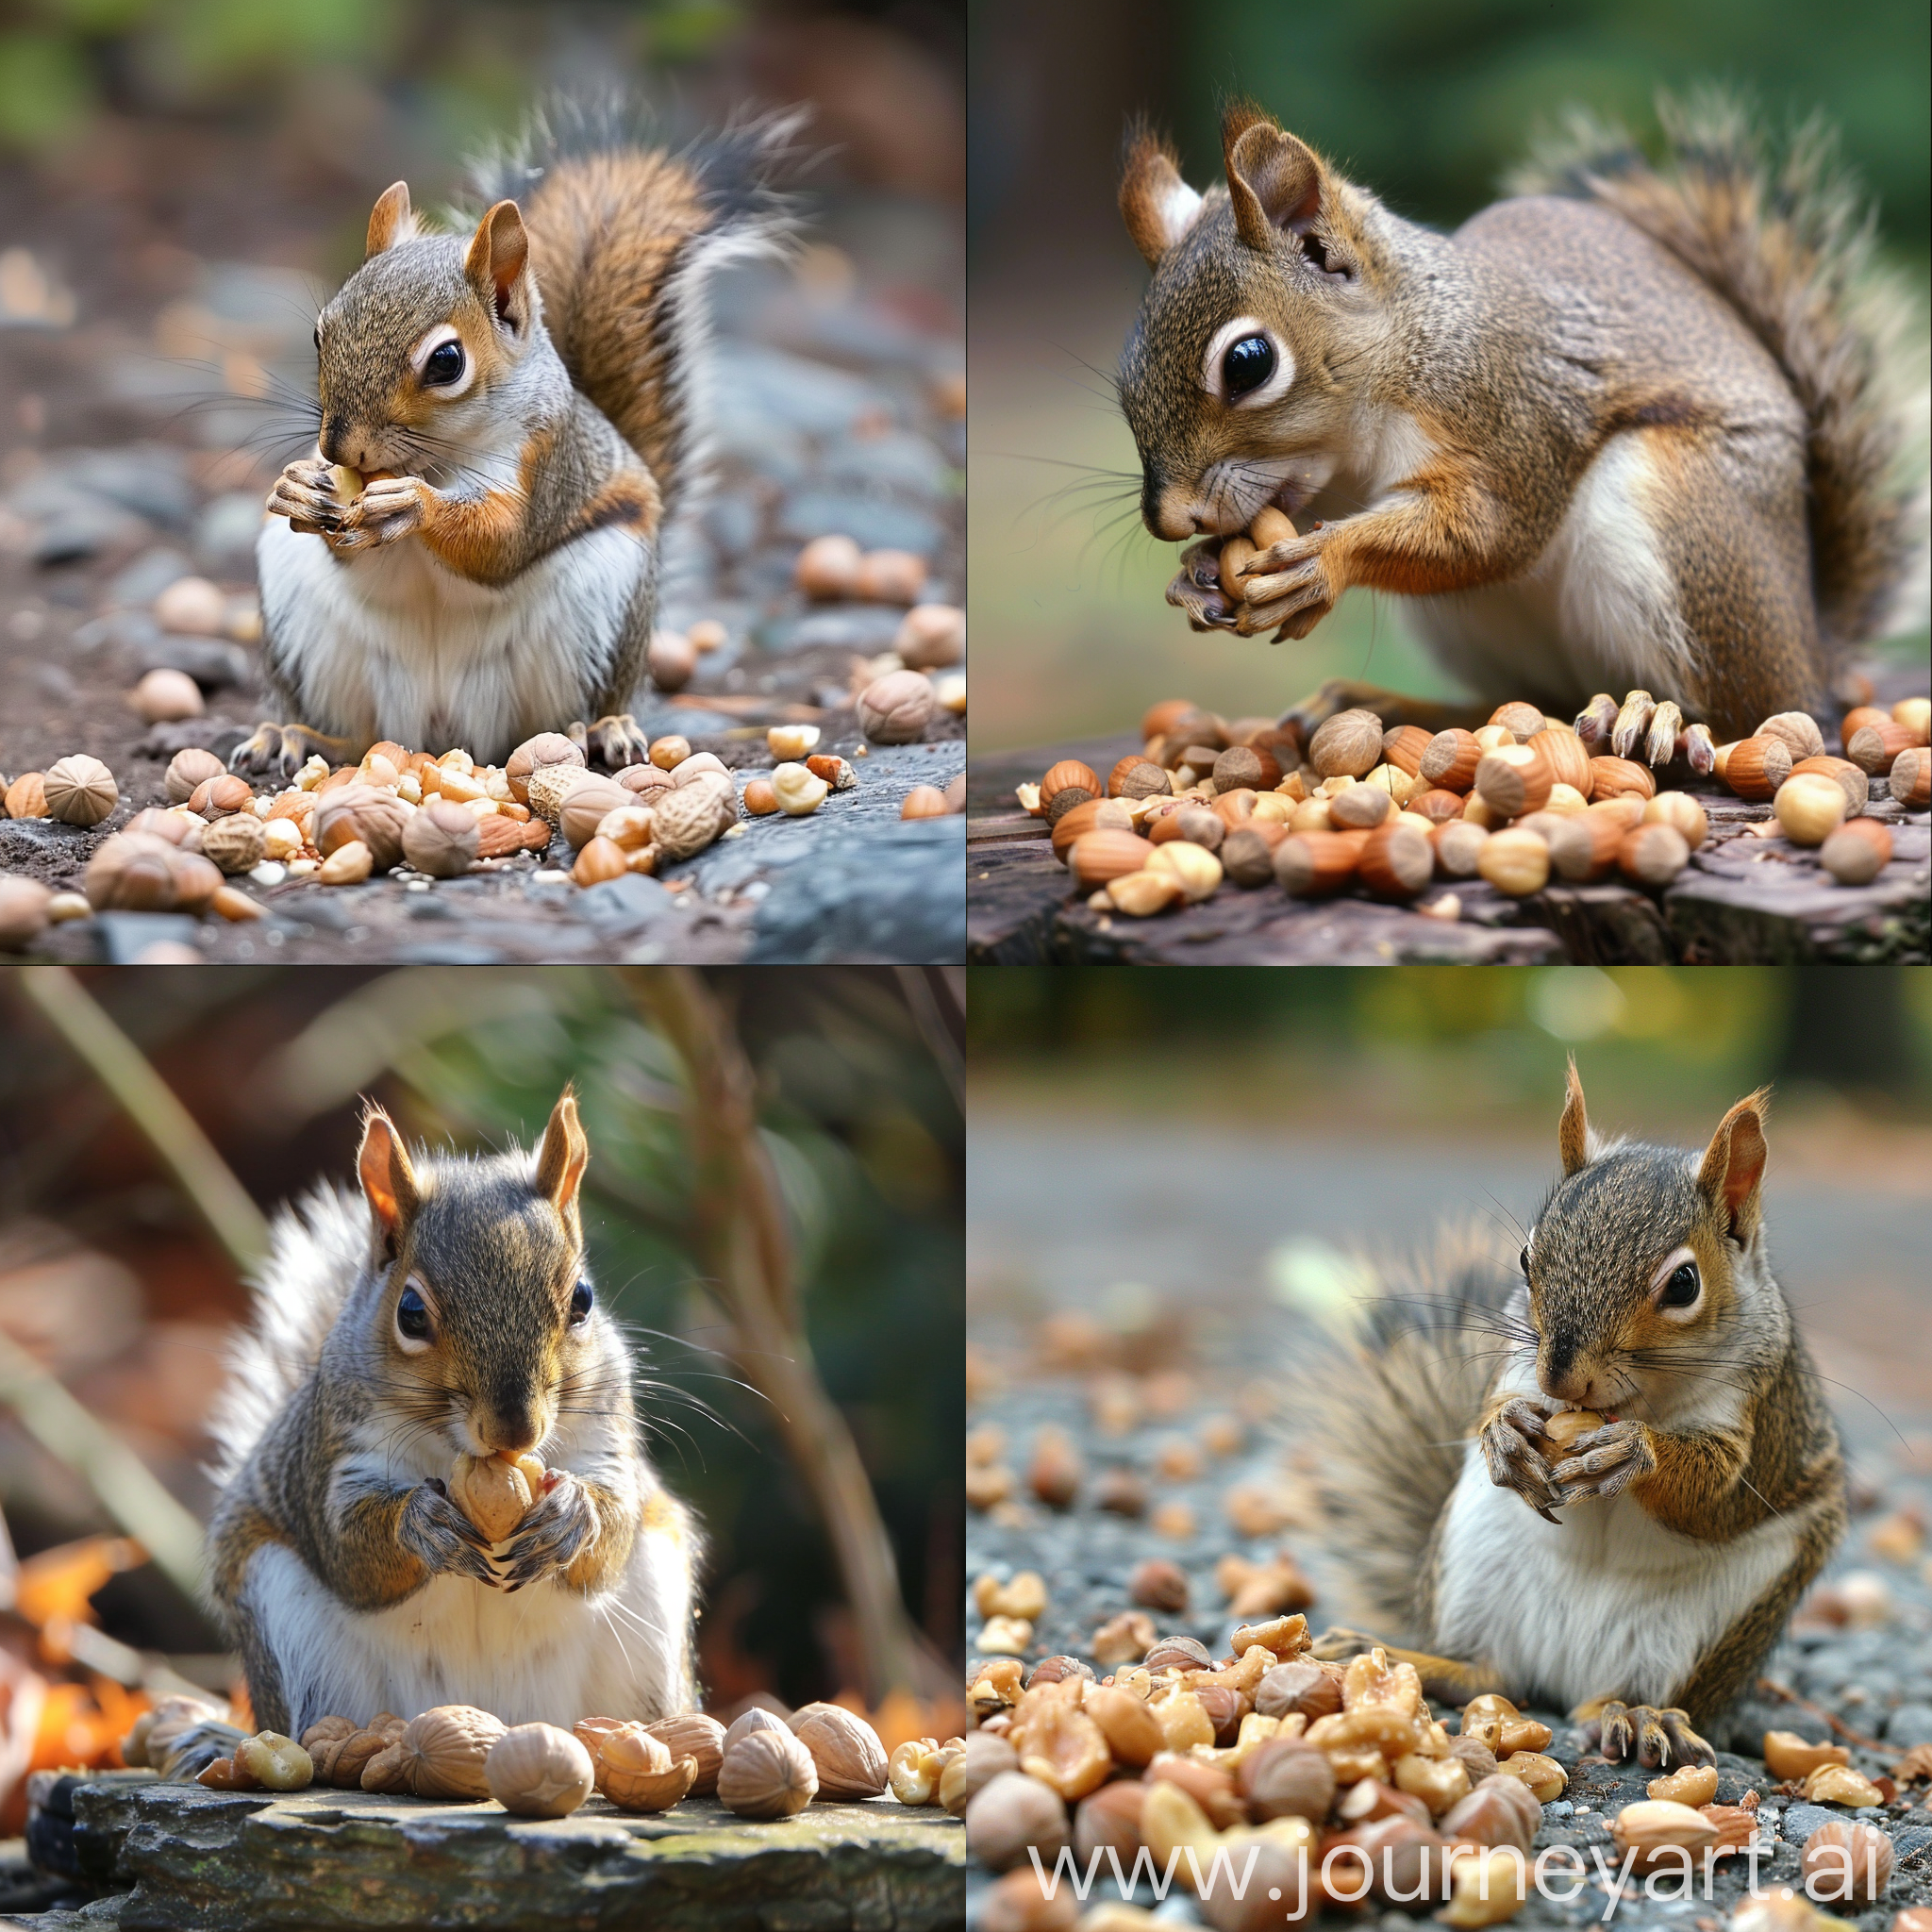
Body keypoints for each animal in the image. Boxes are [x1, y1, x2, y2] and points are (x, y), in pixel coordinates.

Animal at [204, 1090, 699, 1739]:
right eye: (410, 1313)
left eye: (583, 1299)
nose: (515, 1429)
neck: (457, 1450)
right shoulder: (336, 1452)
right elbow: (348, 1546)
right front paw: (421, 1523)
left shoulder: (606, 1440)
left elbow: (612, 1529)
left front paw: (571, 1514)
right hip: (286, 1619)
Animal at [235, 95, 799, 776]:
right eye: (320, 334)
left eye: (446, 362)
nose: (340, 450)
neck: (438, 460)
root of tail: (442, 733)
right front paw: (295, 486)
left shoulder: (546, 462)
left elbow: (500, 543)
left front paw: (411, 506)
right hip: (308, 630)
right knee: (354, 734)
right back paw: (296, 737)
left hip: (602, 608)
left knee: (565, 715)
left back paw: (601, 729)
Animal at [1112, 95, 1924, 760]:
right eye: (1124, 379)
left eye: (1248, 363)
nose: (1169, 519)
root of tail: (1814, 645)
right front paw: (1197, 573)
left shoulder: (1508, 412)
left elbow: (1488, 533)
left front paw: (1322, 563)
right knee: (1533, 705)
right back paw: (1394, 705)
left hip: (1684, 518)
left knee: (1755, 715)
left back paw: (1660, 719)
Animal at [1291, 1066, 1846, 1769]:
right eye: (1528, 1259)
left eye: (1684, 1285)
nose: (1560, 1379)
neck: (1636, 1402)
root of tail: (1561, 1674)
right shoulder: (1516, 1366)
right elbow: (1487, 1408)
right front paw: (1503, 1432)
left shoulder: (1759, 1406)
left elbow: (1715, 1494)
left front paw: (1633, 1452)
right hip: (1475, 1555)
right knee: (1489, 1673)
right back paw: (1385, 1653)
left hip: (1712, 1622)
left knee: (1623, 1688)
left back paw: (1634, 1714)